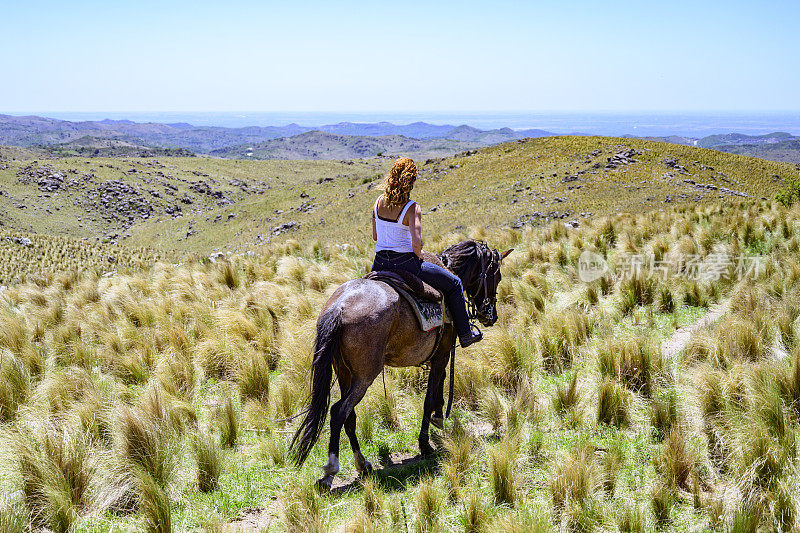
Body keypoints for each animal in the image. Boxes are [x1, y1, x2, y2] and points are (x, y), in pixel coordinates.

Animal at [290, 239, 510, 488]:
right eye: (497, 275)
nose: (490, 316)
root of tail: (339, 307)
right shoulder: (442, 354)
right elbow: (430, 396)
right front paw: (425, 443)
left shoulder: (438, 357)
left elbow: (439, 384)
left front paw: (438, 417)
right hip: (365, 375)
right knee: (339, 412)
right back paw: (331, 469)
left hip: (344, 371)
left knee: (349, 416)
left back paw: (362, 464)